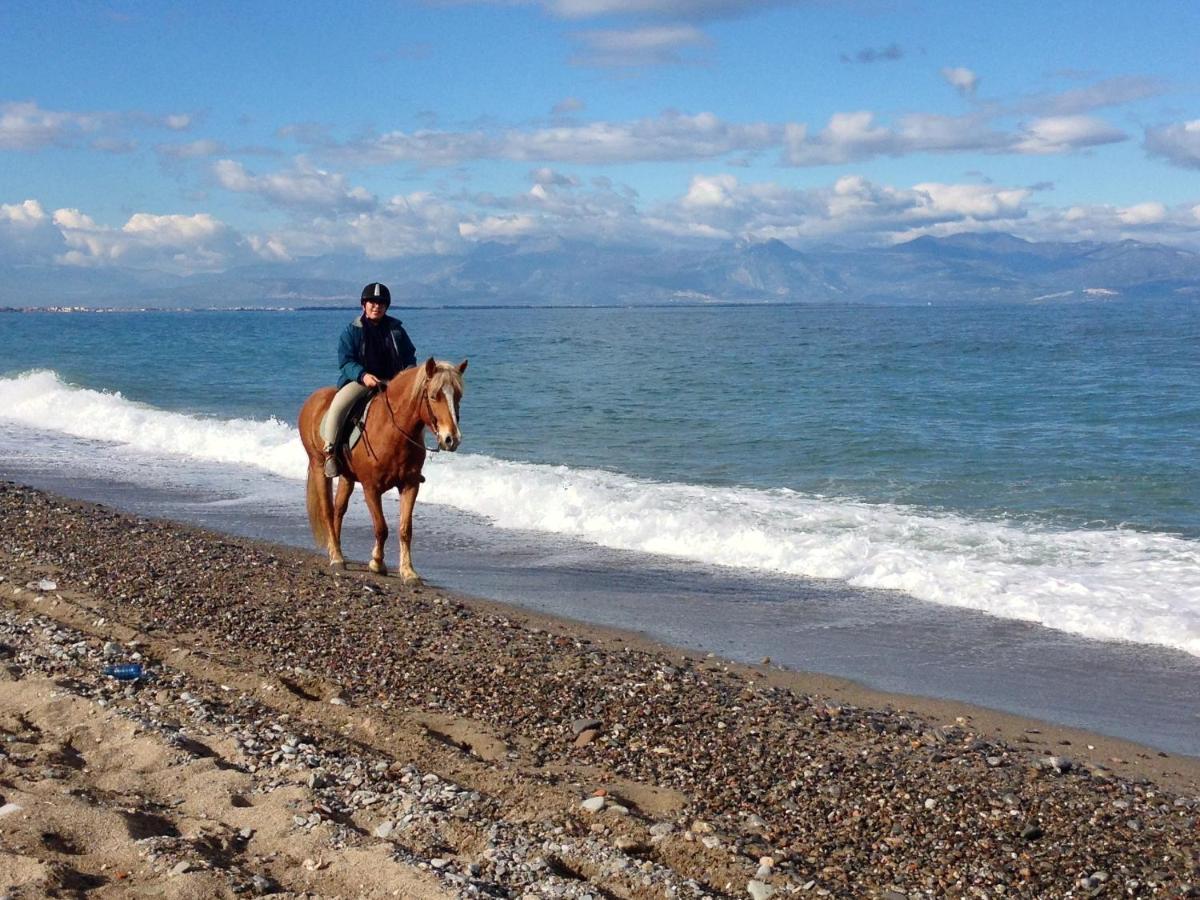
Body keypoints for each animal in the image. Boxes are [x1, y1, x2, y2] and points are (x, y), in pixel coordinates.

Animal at [297, 355, 465, 580]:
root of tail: (312, 401)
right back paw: (337, 558)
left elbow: (405, 529)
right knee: (327, 510)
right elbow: (381, 527)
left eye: (458, 396)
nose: (451, 439)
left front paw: (408, 571)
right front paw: (376, 563)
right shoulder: (371, 488)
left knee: (339, 510)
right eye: (433, 396)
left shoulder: (410, 485)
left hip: (347, 477)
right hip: (318, 468)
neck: (392, 430)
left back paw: (336, 551)